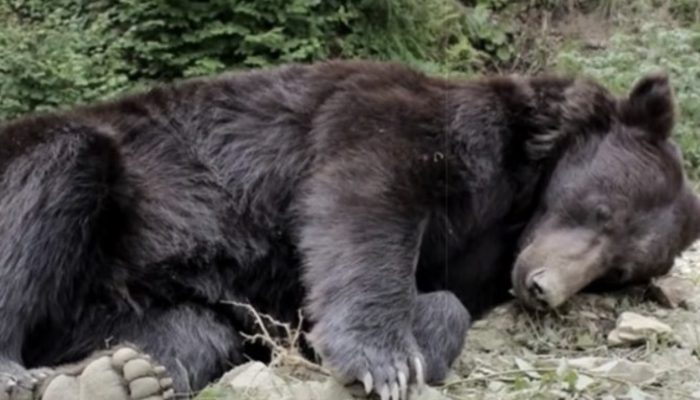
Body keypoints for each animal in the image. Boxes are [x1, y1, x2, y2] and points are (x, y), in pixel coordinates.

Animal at [0, 60, 698, 400]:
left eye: (617, 271)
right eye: (599, 209)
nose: (542, 286)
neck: (515, 198)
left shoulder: (476, 256)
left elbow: (438, 299)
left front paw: (414, 346)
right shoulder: (403, 118)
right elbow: (364, 196)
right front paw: (383, 361)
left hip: (113, 311)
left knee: (192, 331)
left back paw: (114, 377)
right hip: (89, 175)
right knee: (56, 175)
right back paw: (21, 370)